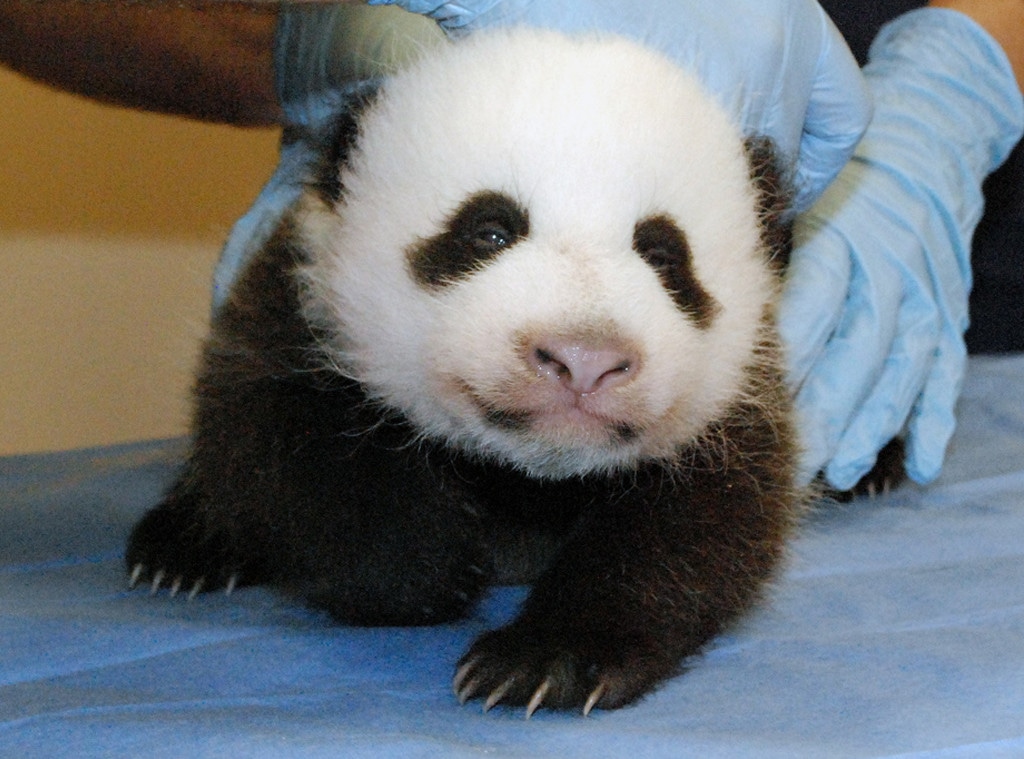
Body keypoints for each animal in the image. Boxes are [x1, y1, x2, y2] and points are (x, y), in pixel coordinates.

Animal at [126, 28, 805, 716]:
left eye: (664, 254)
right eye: (490, 231)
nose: (583, 360)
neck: (530, 476)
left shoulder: (744, 391)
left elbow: (703, 523)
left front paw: (546, 660)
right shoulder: (297, 304)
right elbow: (277, 442)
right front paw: (429, 563)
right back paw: (182, 548)